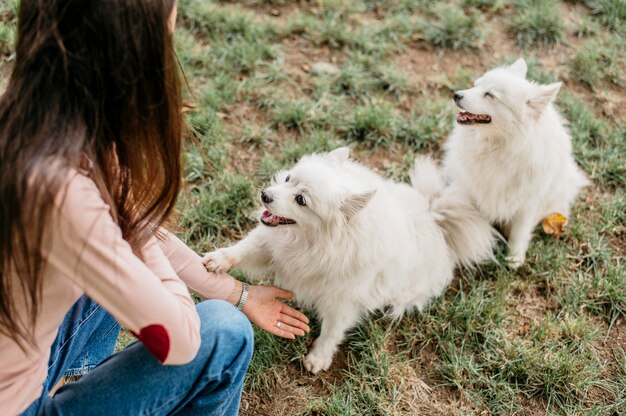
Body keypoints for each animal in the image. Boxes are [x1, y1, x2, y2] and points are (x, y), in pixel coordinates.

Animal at [202, 149, 494, 374]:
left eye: (301, 200)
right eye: (287, 178)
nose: (265, 194)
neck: (315, 242)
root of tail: (434, 216)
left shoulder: (343, 299)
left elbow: (332, 330)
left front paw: (319, 357)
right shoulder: (271, 247)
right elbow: (244, 249)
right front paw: (217, 260)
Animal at [442, 57, 588, 266]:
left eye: (490, 95)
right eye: (476, 85)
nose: (456, 95)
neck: (499, 147)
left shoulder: (528, 201)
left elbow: (520, 230)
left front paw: (514, 258)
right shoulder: (473, 190)